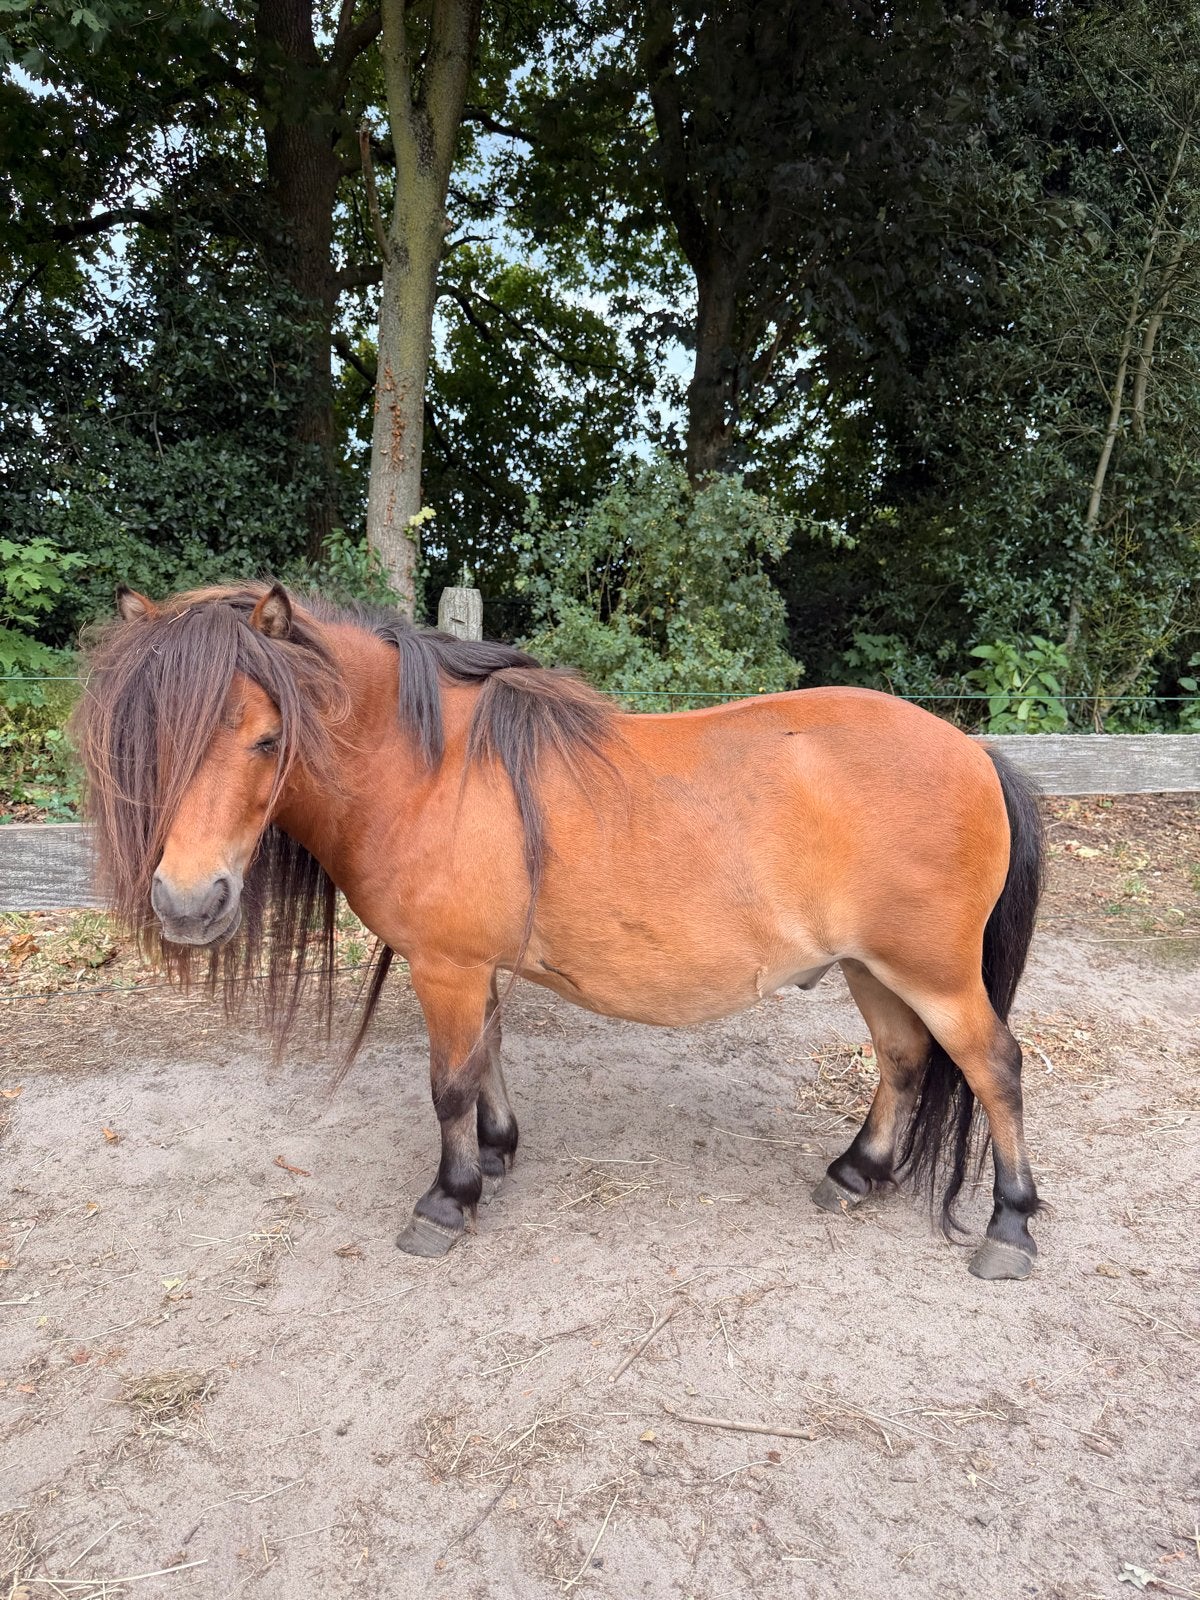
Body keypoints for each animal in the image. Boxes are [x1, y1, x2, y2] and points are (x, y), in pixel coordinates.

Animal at [75, 581, 1045, 1282]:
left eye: (269, 738)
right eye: (150, 740)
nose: (189, 903)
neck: (426, 773)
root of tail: (972, 750)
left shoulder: (446, 967)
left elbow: (450, 1085)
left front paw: (449, 1198)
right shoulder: (474, 967)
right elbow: (487, 1060)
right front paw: (498, 1155)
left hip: (934, 974)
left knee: (993, 1069)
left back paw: (1010, 1226)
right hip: (871, 968)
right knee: (905, 1063)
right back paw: (857, 1174)